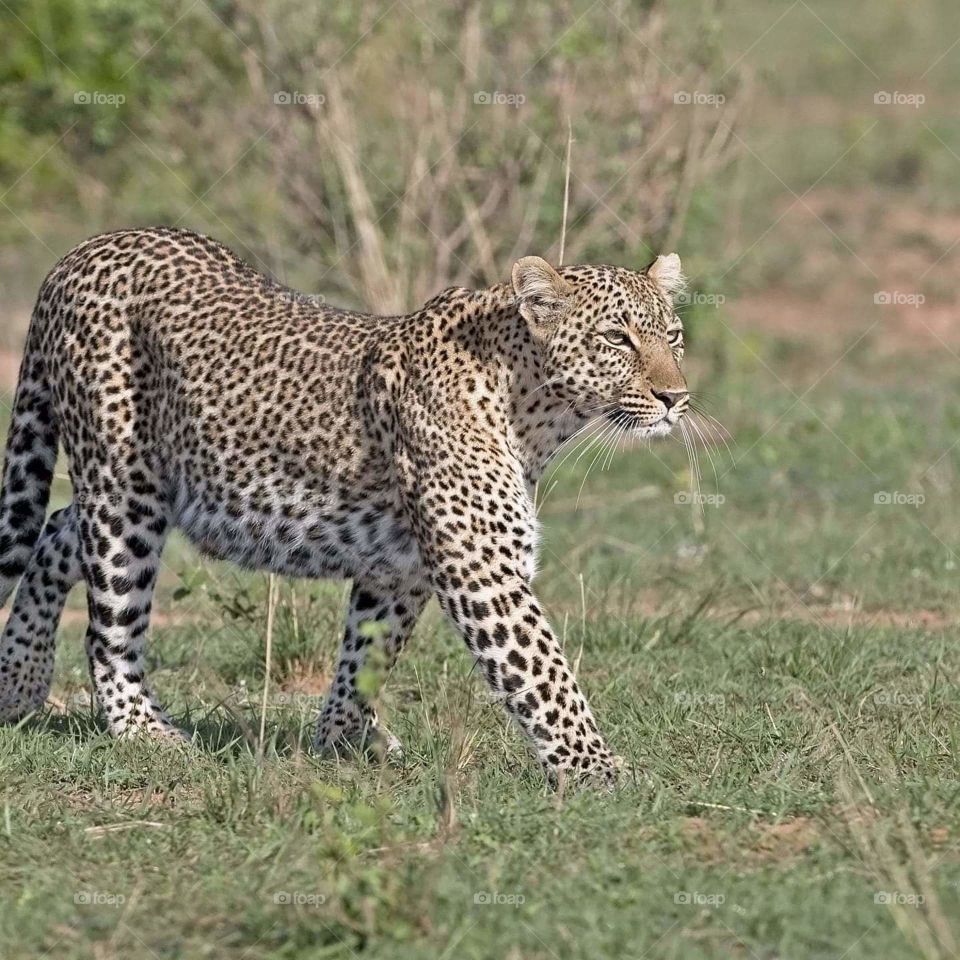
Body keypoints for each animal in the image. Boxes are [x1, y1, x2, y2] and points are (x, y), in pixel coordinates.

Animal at [0, 226, 689, 785]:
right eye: (617, 338)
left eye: (674, 336)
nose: (676, 397)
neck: (534, 414)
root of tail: (84, 251)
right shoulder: (480, 565)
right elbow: (544, 672)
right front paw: (599, 770)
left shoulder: (398, 565)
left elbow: (367, 654)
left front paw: (342, 740)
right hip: (123, 489)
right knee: (108, 623)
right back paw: (144, 732)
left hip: (141, 487)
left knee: (57, 529)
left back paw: (18, 683)